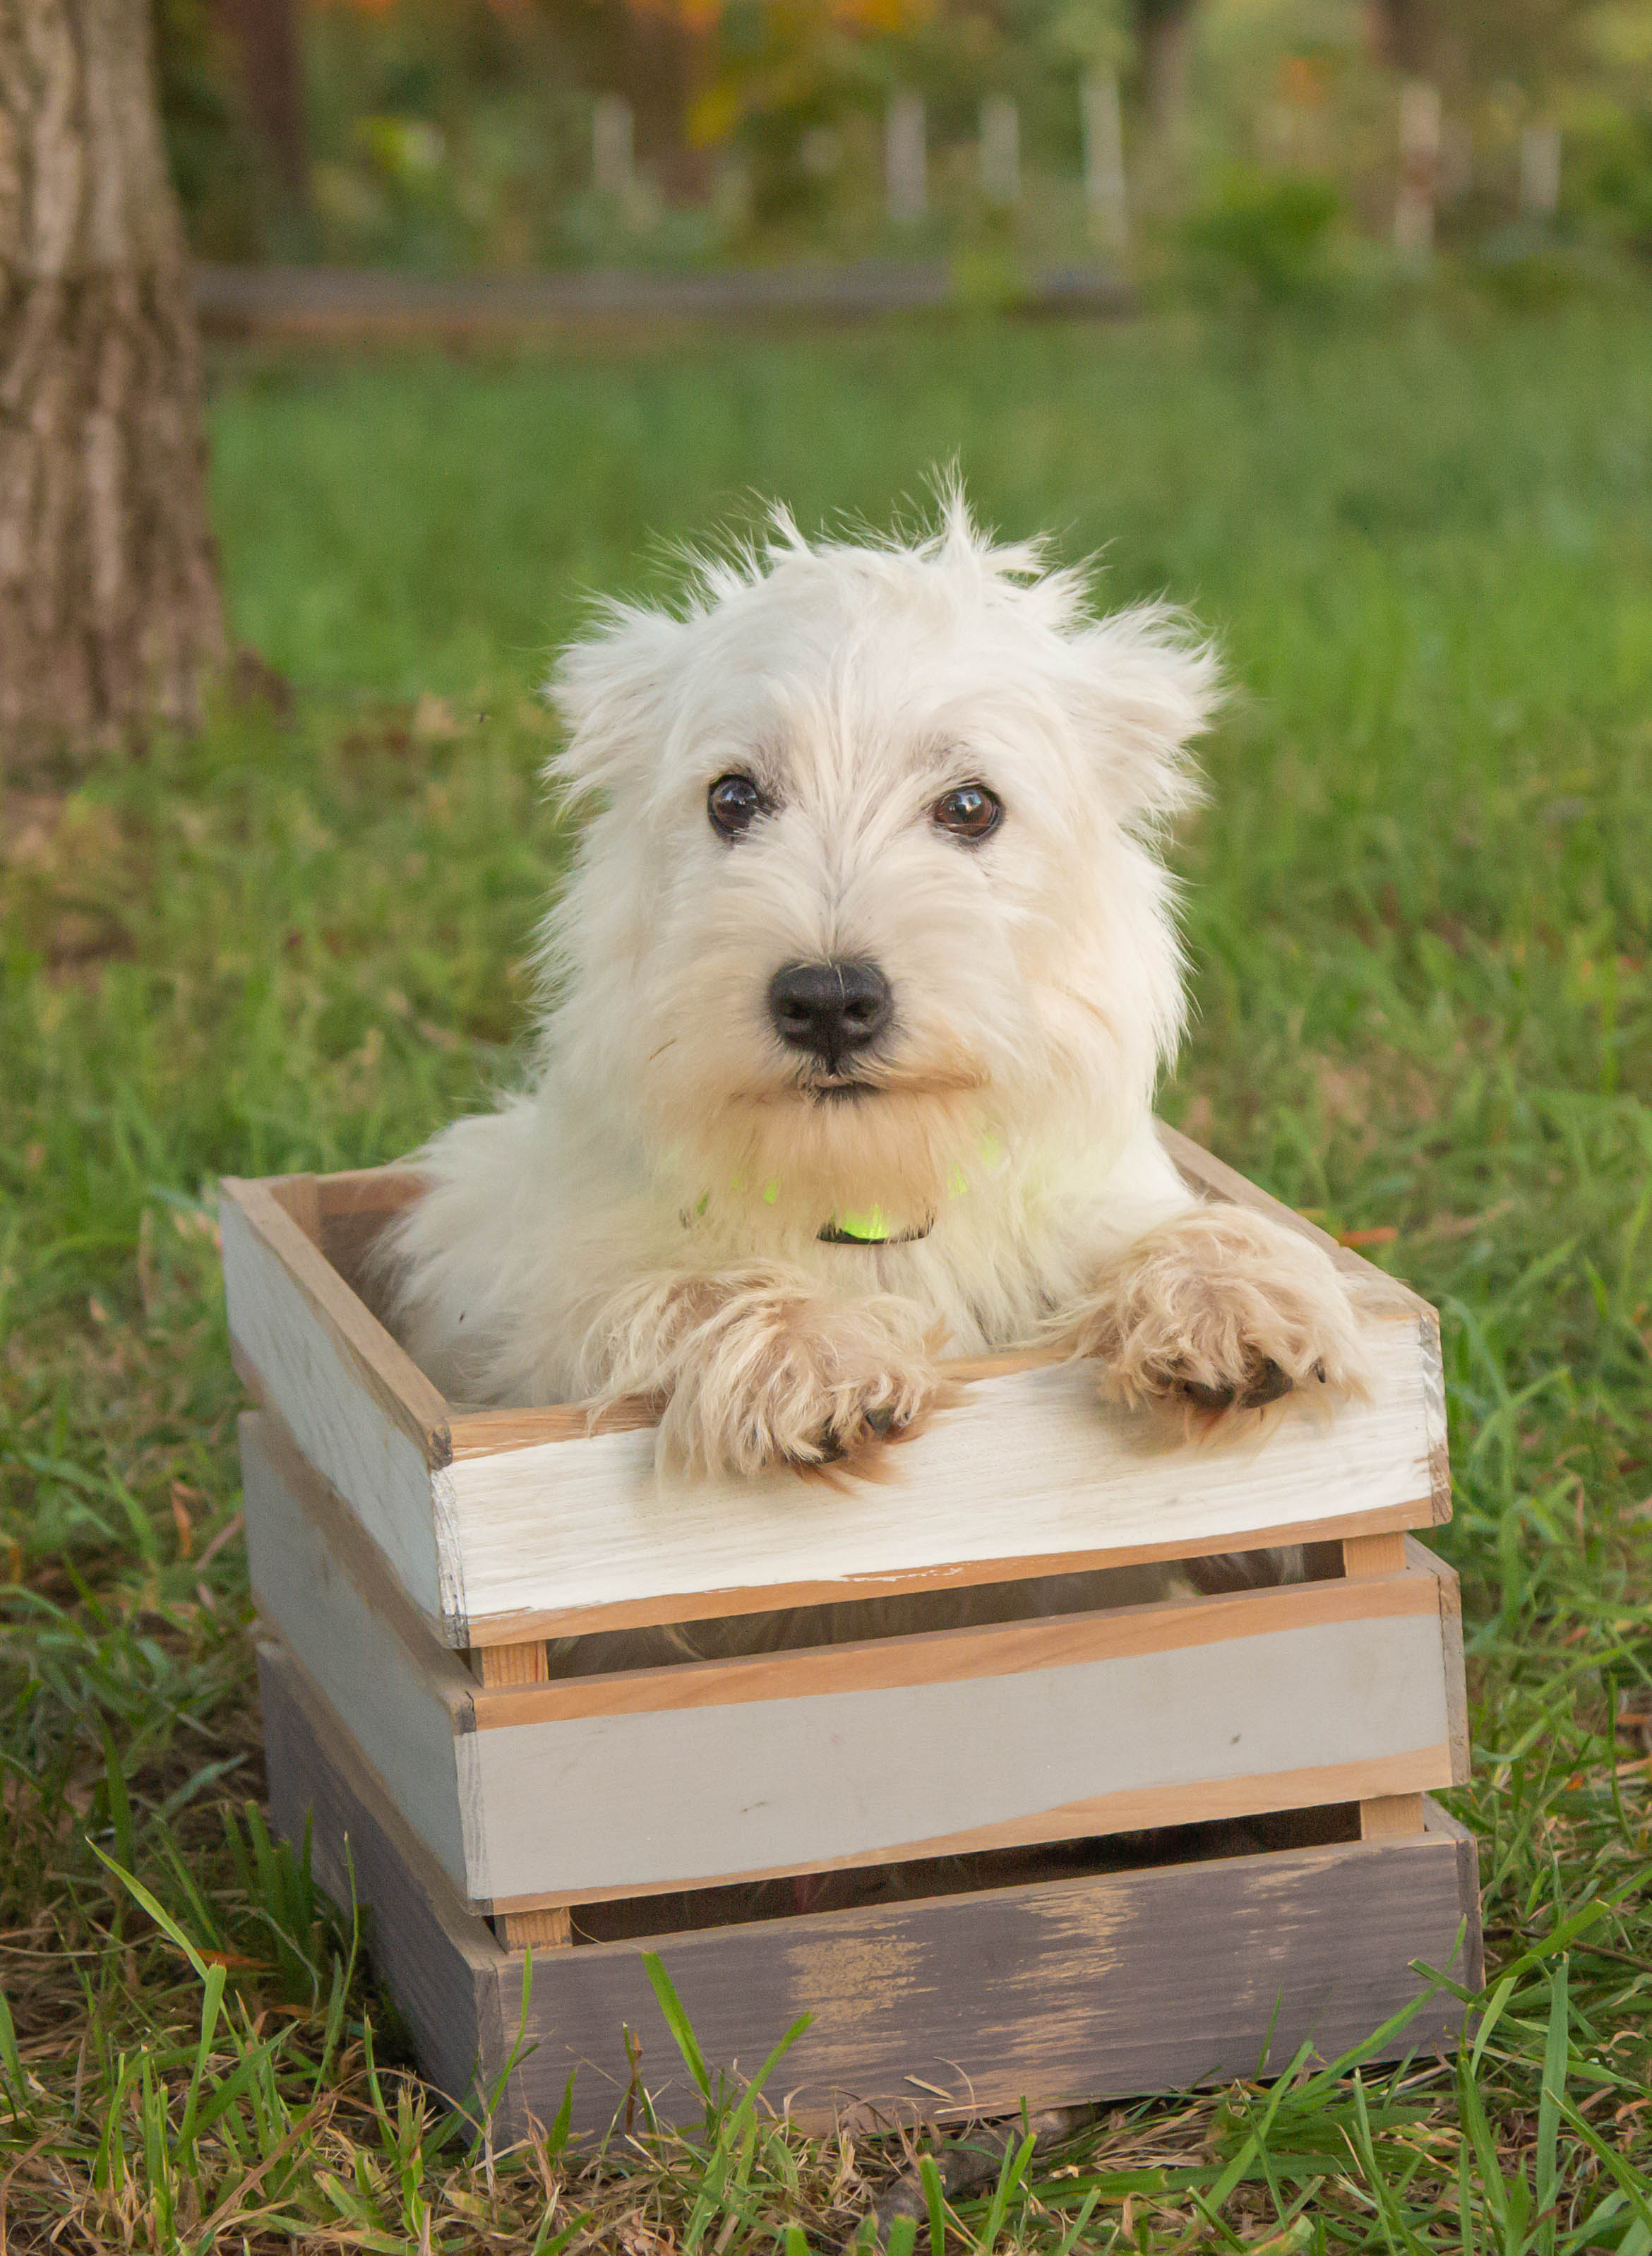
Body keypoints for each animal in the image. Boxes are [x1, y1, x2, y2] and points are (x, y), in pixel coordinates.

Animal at [390, 494, 1372, 1471]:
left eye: (971, 806)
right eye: (732, 798)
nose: (827, 1003)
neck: (871, 1187)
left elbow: (1171, 1225)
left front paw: (1225, 1298)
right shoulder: (547, 1309)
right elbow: (686, 1284)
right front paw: (812, 1349)